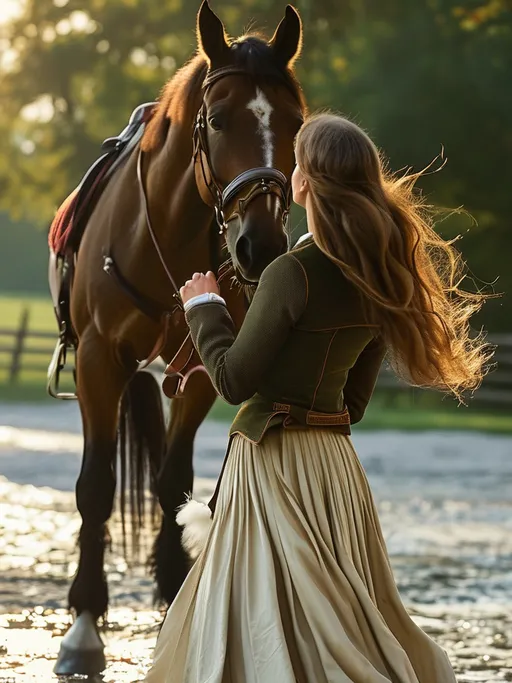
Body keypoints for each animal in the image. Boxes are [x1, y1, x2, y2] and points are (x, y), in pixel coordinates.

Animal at [49, 0, 304, 672]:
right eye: (215, 119)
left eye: (296, 122)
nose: (261, 244)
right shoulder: (99, 363)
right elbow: (95, 489)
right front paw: (82, 628)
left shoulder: (202, 371)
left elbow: (172, 481)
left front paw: (176, 603)